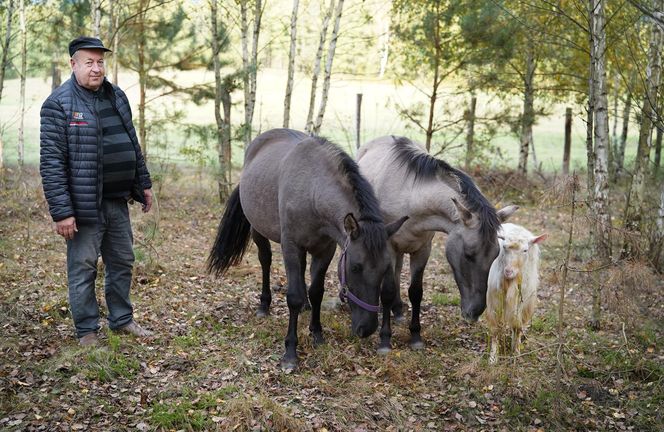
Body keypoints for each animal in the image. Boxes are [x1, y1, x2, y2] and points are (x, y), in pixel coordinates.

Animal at [208, 127, 408, 368]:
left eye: (385, 269)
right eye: (355, 267)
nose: (366, 329)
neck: (312, 191)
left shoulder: (325, 250)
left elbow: (317, 292)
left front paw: (317, 334)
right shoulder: (291, 247)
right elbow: (292, 297)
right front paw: (290, 352)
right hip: (259, 232)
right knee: (265, 261)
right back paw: (264, 305)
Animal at [358, 137, 520, 352]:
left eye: (495, 255)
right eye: (468, 255)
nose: (475, 312)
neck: (411, 197)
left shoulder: (422, 250)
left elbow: (416, 292)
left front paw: (416, 336)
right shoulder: (389, 247)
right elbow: (387, 291)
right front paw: (385, 340)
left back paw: (398, 310)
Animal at [486, 223, 548, 364]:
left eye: (525, 250)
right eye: (504, 247)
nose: (508, 271)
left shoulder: (522, 303)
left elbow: (518, 326)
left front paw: (516, 353)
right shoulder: (494, 301)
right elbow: (495, 328)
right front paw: (493, 357)